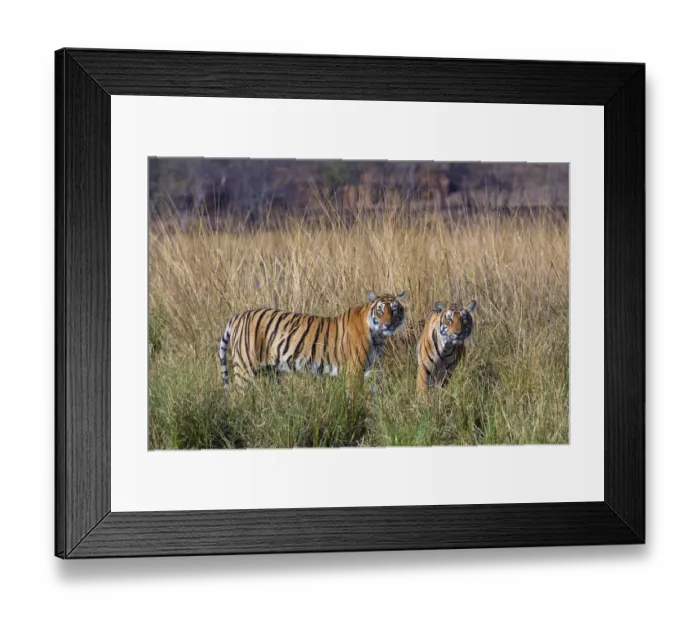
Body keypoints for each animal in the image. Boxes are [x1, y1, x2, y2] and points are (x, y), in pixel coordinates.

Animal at [218, 291, 406, 391]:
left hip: (271, 372)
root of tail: (237, 316)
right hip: (244, 369)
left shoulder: (365, 370)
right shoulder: (354, 370)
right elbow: (354, 397)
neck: (377, 336)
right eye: (380, 310)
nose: (387, 324)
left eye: (394, 309)